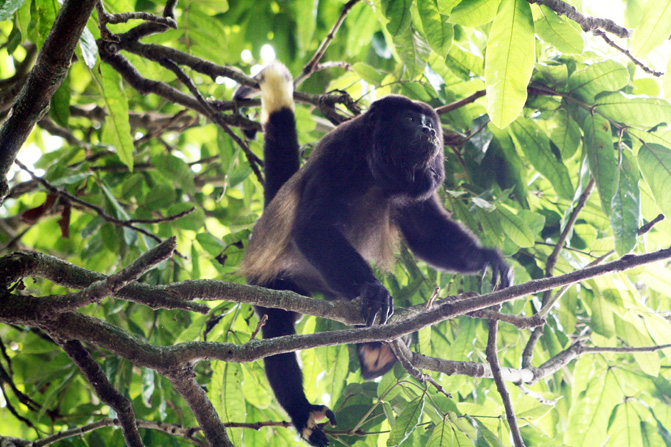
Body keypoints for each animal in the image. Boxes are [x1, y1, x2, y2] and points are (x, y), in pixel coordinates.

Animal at [234, 63, 513, 447]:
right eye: (410, 120)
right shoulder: (340, 154)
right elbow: (312, 226)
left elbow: (427, 233)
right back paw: (302, 412)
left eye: (427, 121)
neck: (376, 169)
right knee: (276, 331)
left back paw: (376, 352)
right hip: (271, 279)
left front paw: (489, 259)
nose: (429, 129)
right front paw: (374, 291)